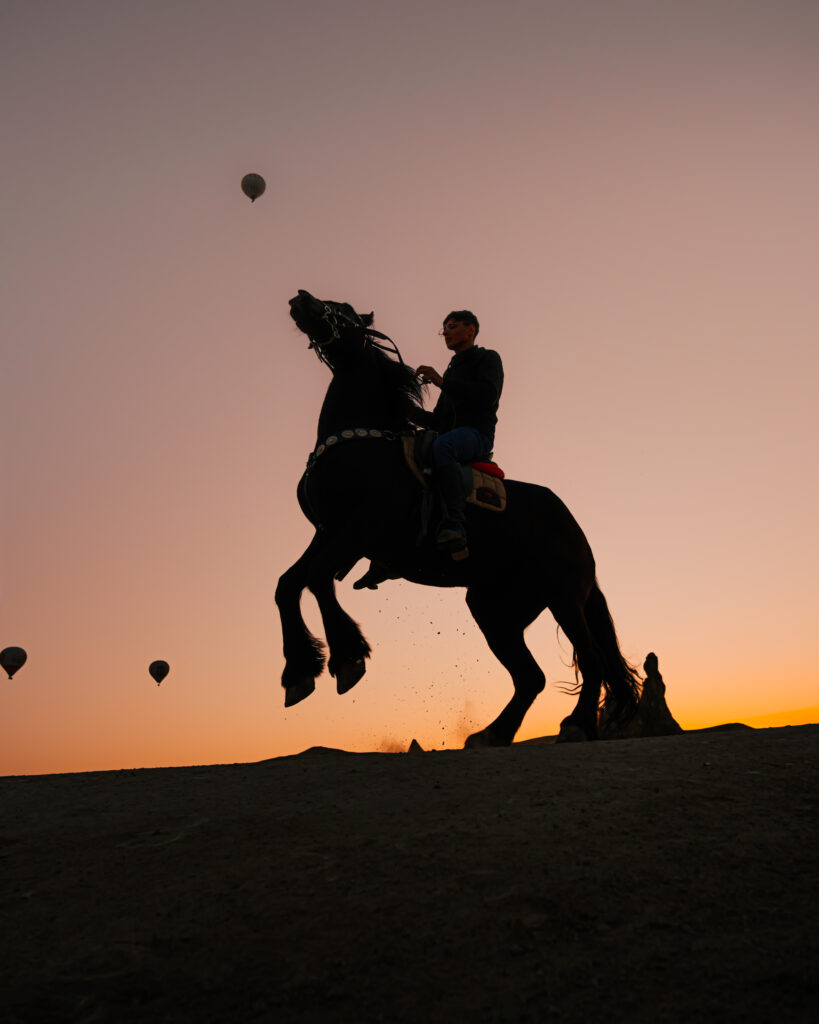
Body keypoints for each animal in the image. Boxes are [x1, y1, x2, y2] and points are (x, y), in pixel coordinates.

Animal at [274, 288, 638, 745]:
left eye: (345, 311)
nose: (301, 298)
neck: (361, 441)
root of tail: (573, 529)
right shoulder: (329, 533)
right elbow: (290, 584)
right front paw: (301, 672)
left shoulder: (358, 530)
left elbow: (316, 579)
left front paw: (346, 659)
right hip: (493, 607)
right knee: (530, 677)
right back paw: (493, 733)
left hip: (564, 596)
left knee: (589, 660)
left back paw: (576, 724)